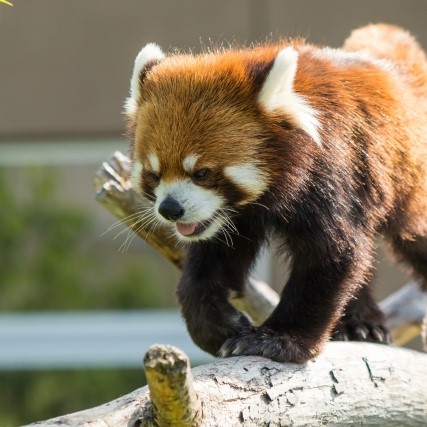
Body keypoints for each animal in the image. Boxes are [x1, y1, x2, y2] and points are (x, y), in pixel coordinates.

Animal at [123, 25, 427, 362]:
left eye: (202, 173)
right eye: (154, 174)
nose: (170, 209)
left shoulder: (332, 177)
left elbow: (332, 255)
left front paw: (277, 339)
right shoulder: (233, 220)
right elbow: (209, 265)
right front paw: (216, 325)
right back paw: (360, 323)